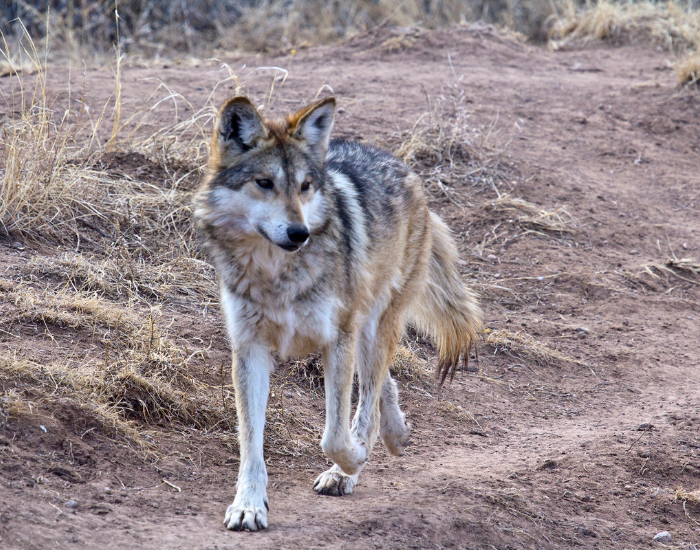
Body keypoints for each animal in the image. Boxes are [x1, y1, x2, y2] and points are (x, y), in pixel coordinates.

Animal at [193, 95, 483, 531]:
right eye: (264, 183)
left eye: (305, 187)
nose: (299, 233)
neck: (277, 274)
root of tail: (402, 167)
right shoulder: (249, 348)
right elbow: (251, 443)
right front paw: (248, 505)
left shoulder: (337, 339)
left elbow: (334, 436)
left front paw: (353, 461)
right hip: (364, 332)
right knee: (380, 385)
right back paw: (396, 433)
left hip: (373, 326)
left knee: (370, 395)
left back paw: (355, 463)